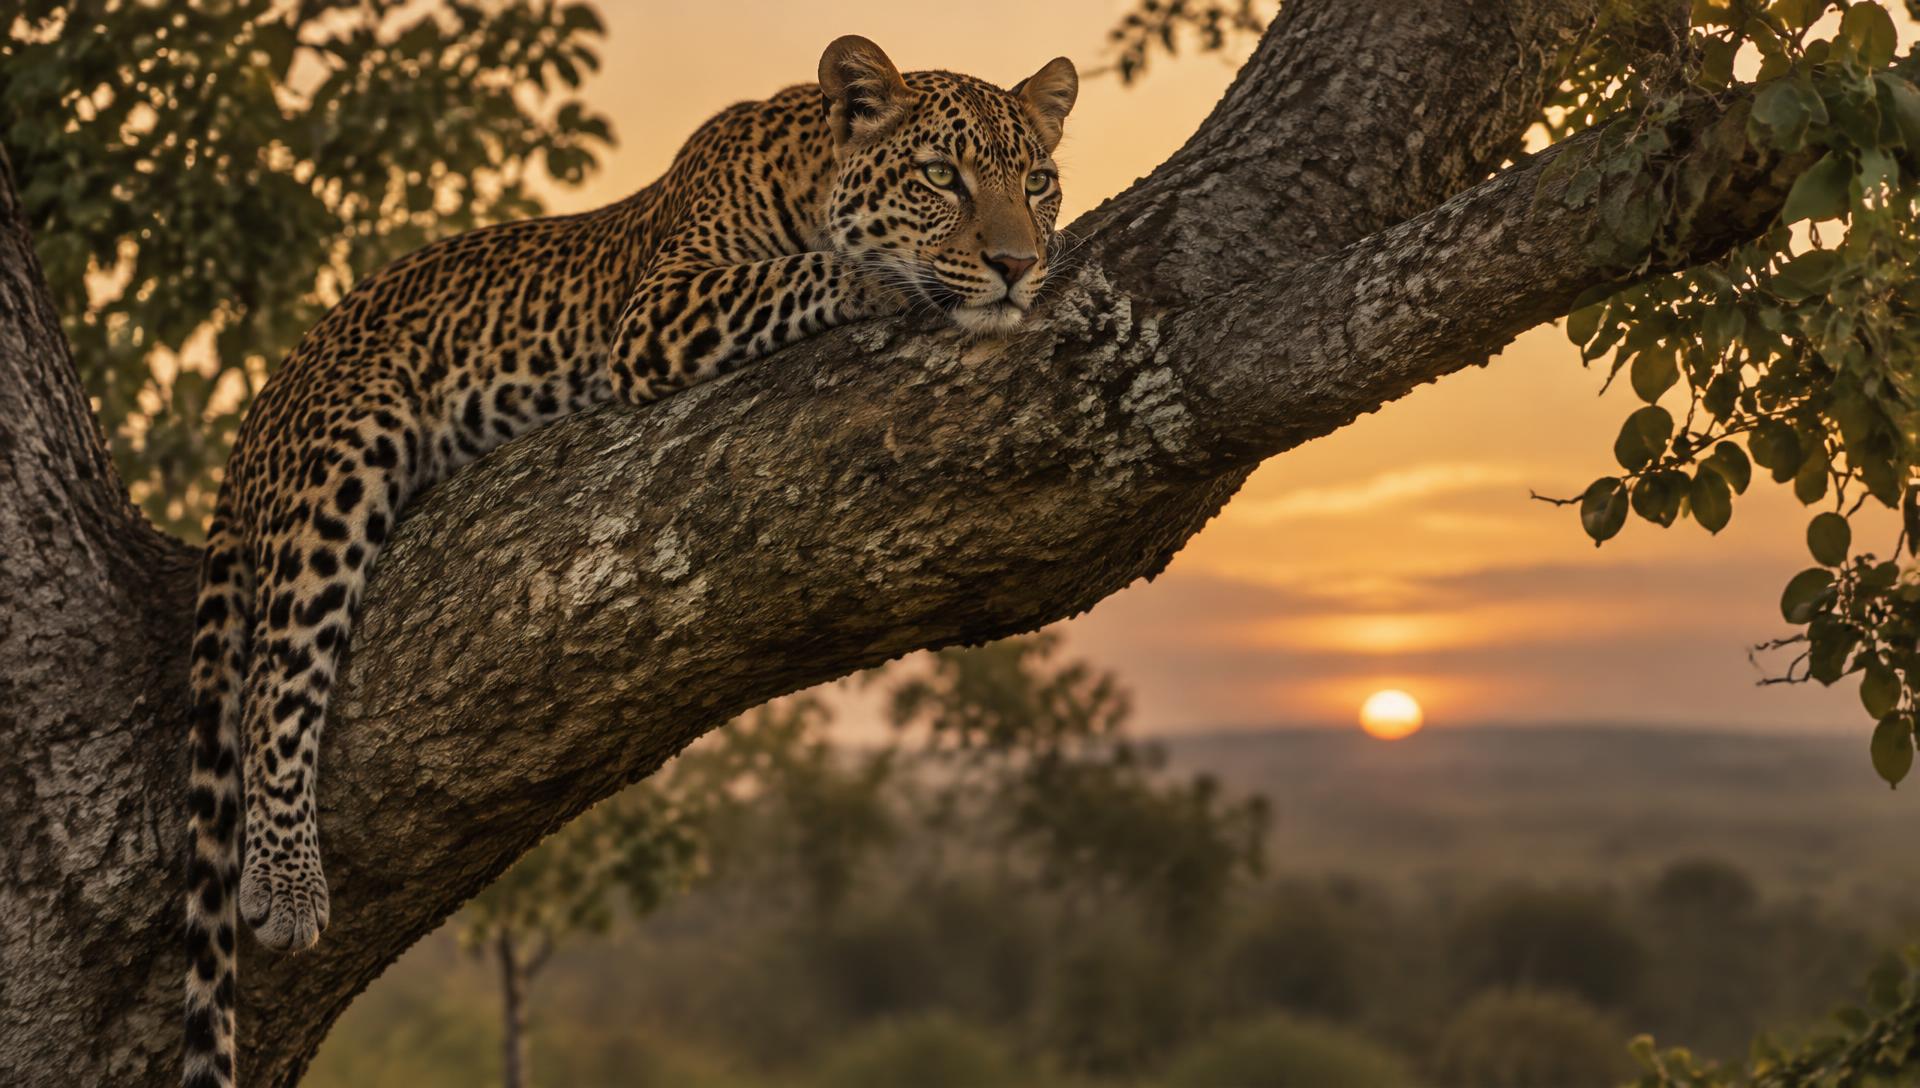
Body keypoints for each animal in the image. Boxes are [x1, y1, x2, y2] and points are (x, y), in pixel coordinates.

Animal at [179, 34, 1076, 1088]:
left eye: (1040, 182)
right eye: (942, 176)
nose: (1019, 265)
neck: (807, 173)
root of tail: (253, 421)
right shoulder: (659, 310)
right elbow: (803, 272)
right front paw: (890, 281)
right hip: (347, 447)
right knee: (275, 677)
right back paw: (285, 884)